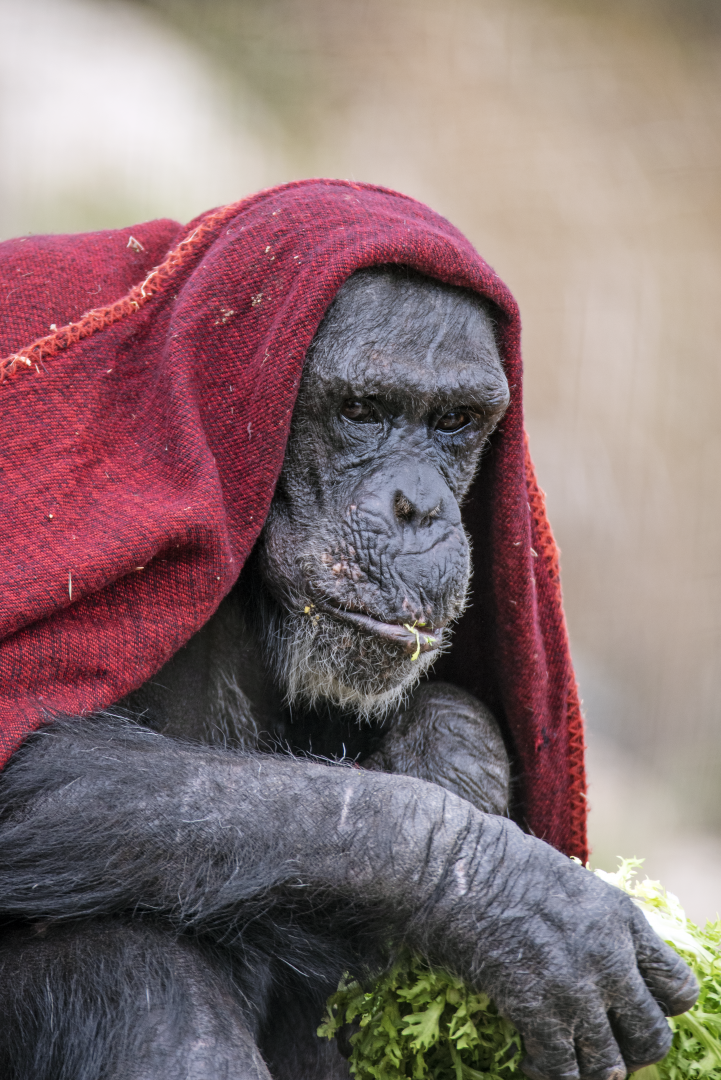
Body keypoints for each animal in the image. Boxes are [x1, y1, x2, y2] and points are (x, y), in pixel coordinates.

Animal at [0, 267, 696, 1080]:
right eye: (362, 411)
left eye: (454, 421)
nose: (418, 507)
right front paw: (510, 891)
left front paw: (454, 753)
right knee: (139, 981)